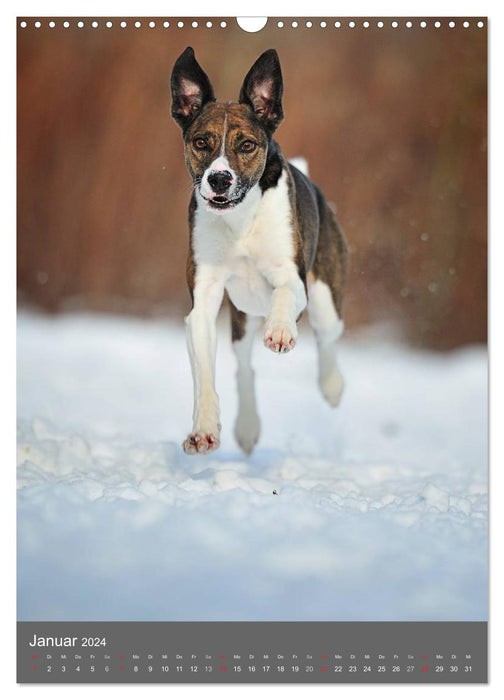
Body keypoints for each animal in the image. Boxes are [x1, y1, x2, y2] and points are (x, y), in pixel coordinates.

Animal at [171, 46, 348, 456]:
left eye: (247, 145)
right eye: (201, 142)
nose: (220, 179)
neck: (239, 221)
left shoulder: (292, 276)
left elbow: (284, 290)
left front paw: (281, 331)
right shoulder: (203, 301)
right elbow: (205, 371)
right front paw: (203, 431)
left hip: (325, 297)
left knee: (328, 337)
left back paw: (332, 385)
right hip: (243, 314)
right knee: (244, 366)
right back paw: (248, 427)